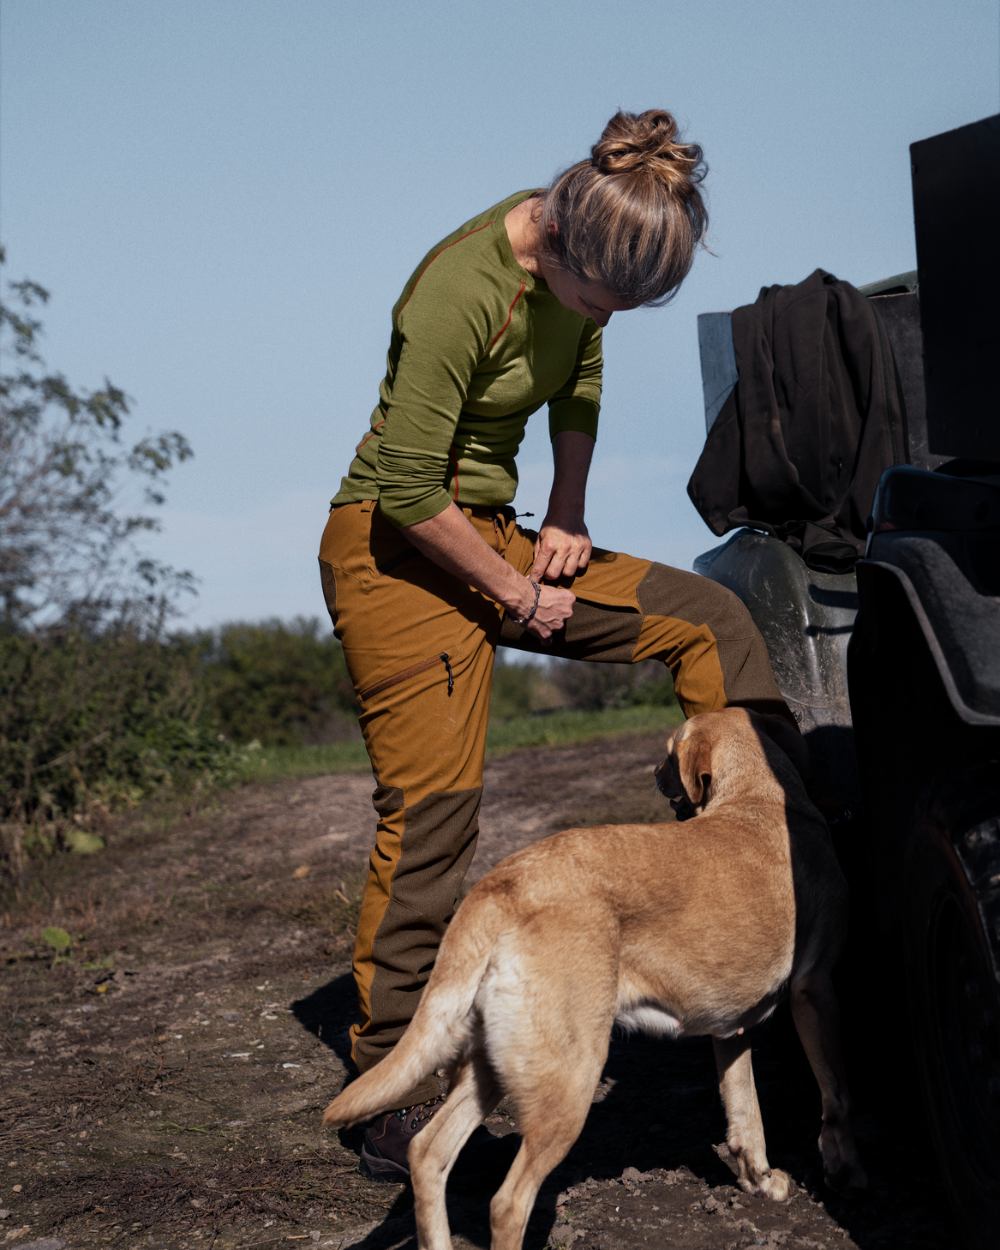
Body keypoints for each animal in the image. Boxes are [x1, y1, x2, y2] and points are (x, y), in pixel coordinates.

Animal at [325, 710, 865, 1245]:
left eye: (669, 754)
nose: (654, 772)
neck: (754, 798)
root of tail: (497, 887)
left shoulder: (730, 1028)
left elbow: (745, 1110)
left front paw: (760, 1179)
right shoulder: (814, 989)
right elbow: (837, 1093)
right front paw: (844, 1171)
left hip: (491, 1069)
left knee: (428, 1153)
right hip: (570, 1081)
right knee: (507, 1203)